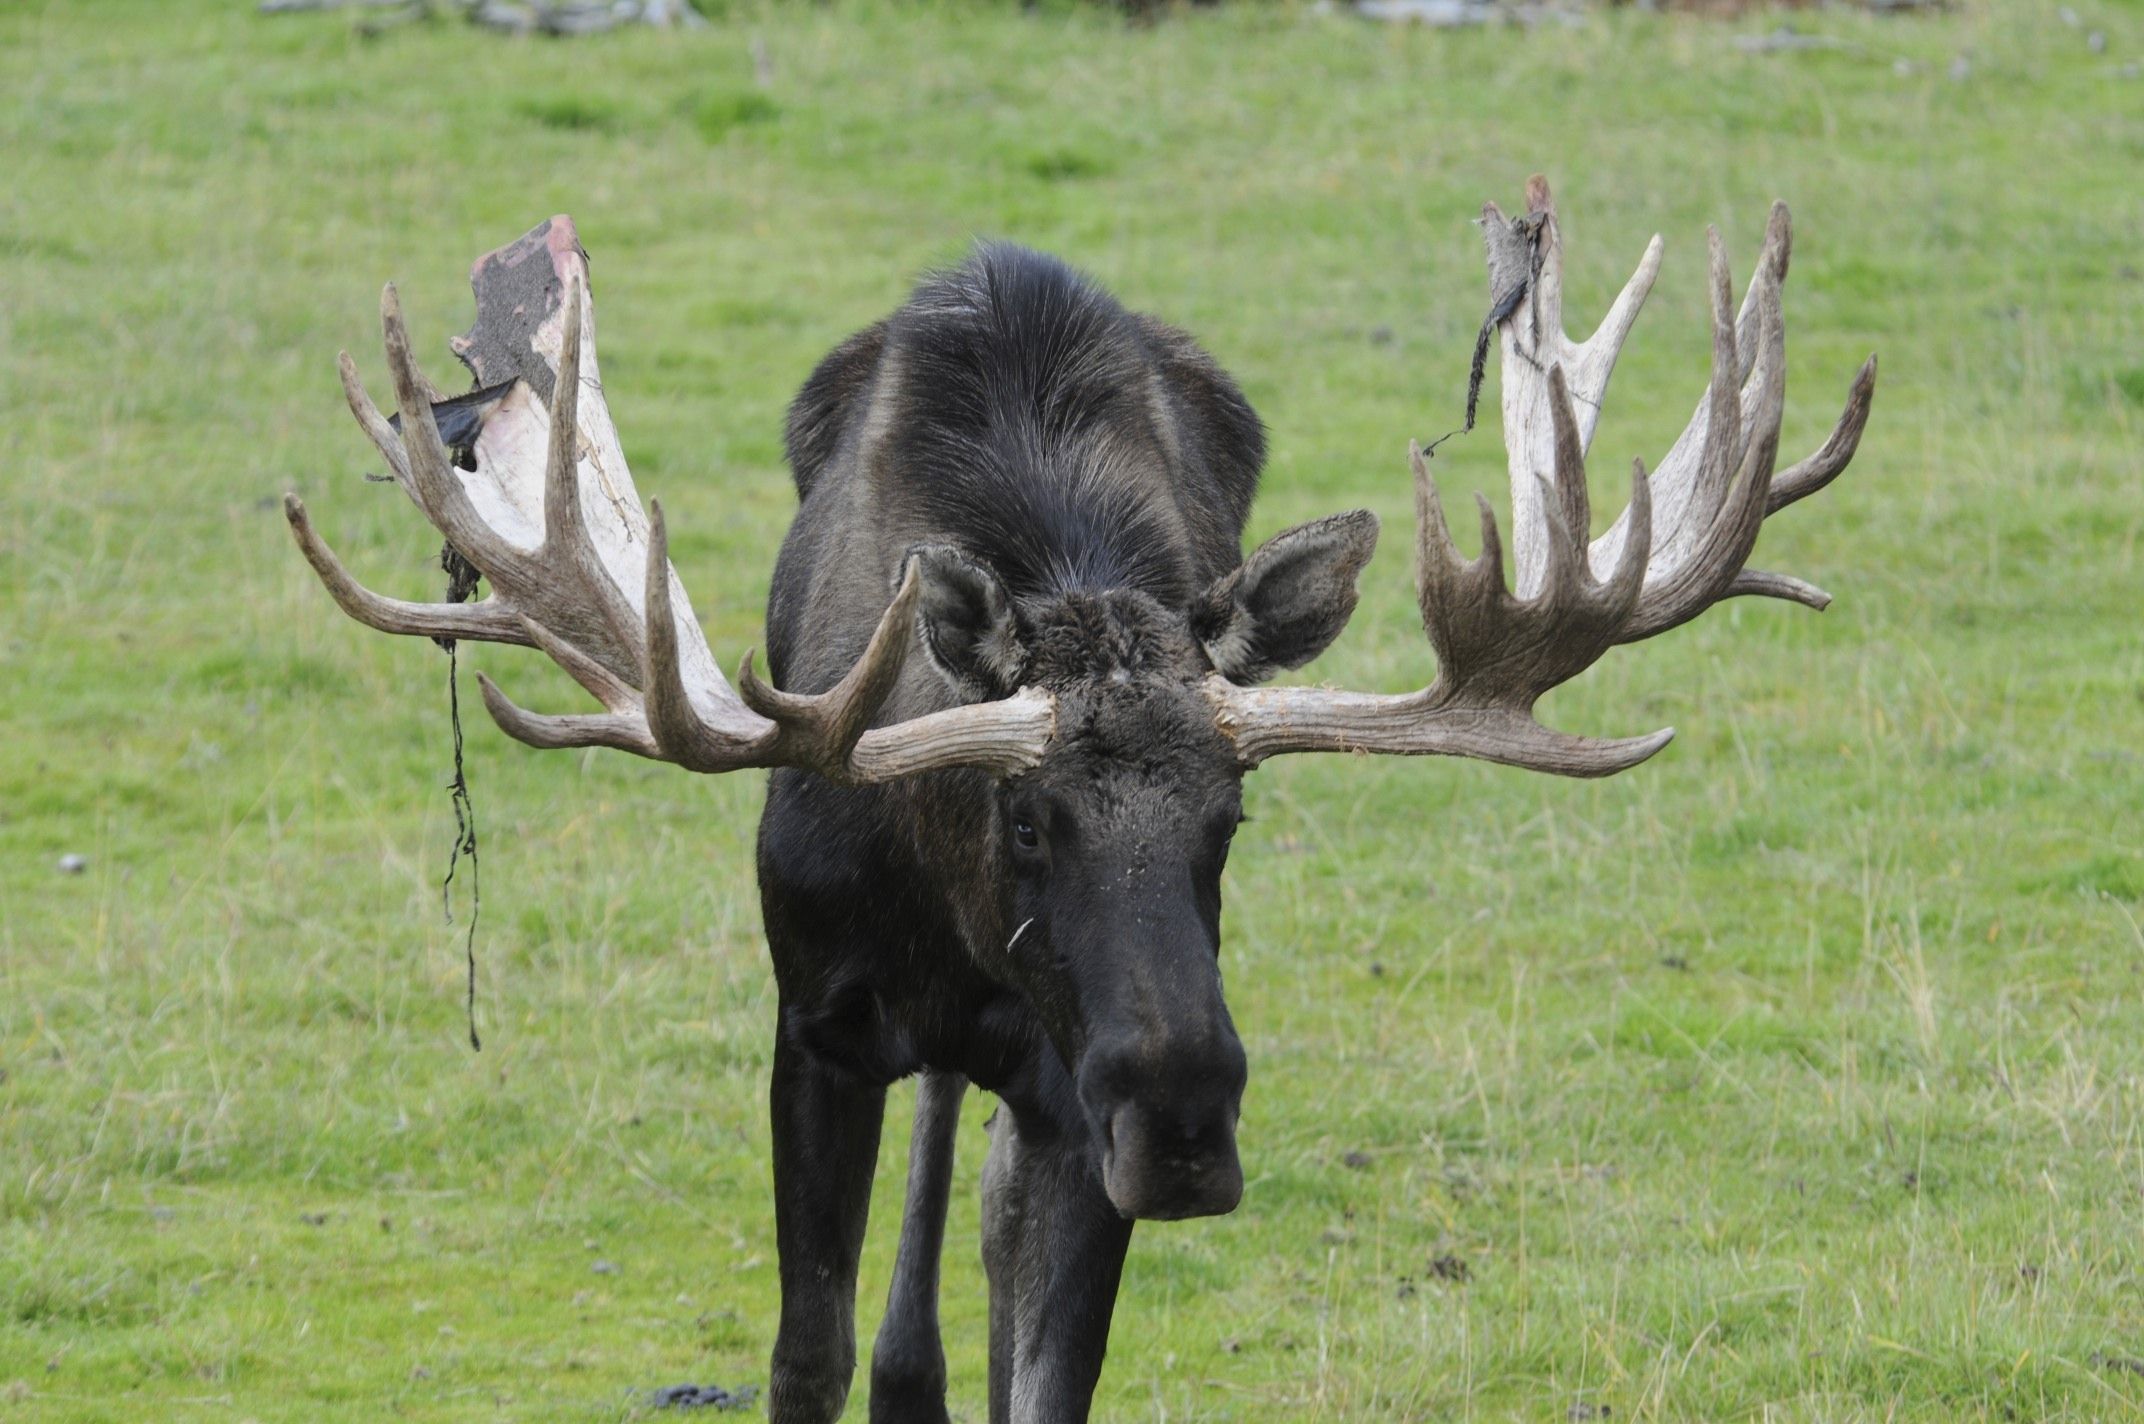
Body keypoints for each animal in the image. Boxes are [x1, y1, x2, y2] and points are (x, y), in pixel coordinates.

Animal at [285, 181, 1878, 1423]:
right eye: (1023, 816)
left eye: (1234, 819)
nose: (1183, 1116)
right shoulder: (813, 1024)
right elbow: (802, 1355)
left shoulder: (1068, 1096)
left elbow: (1042, 1368)